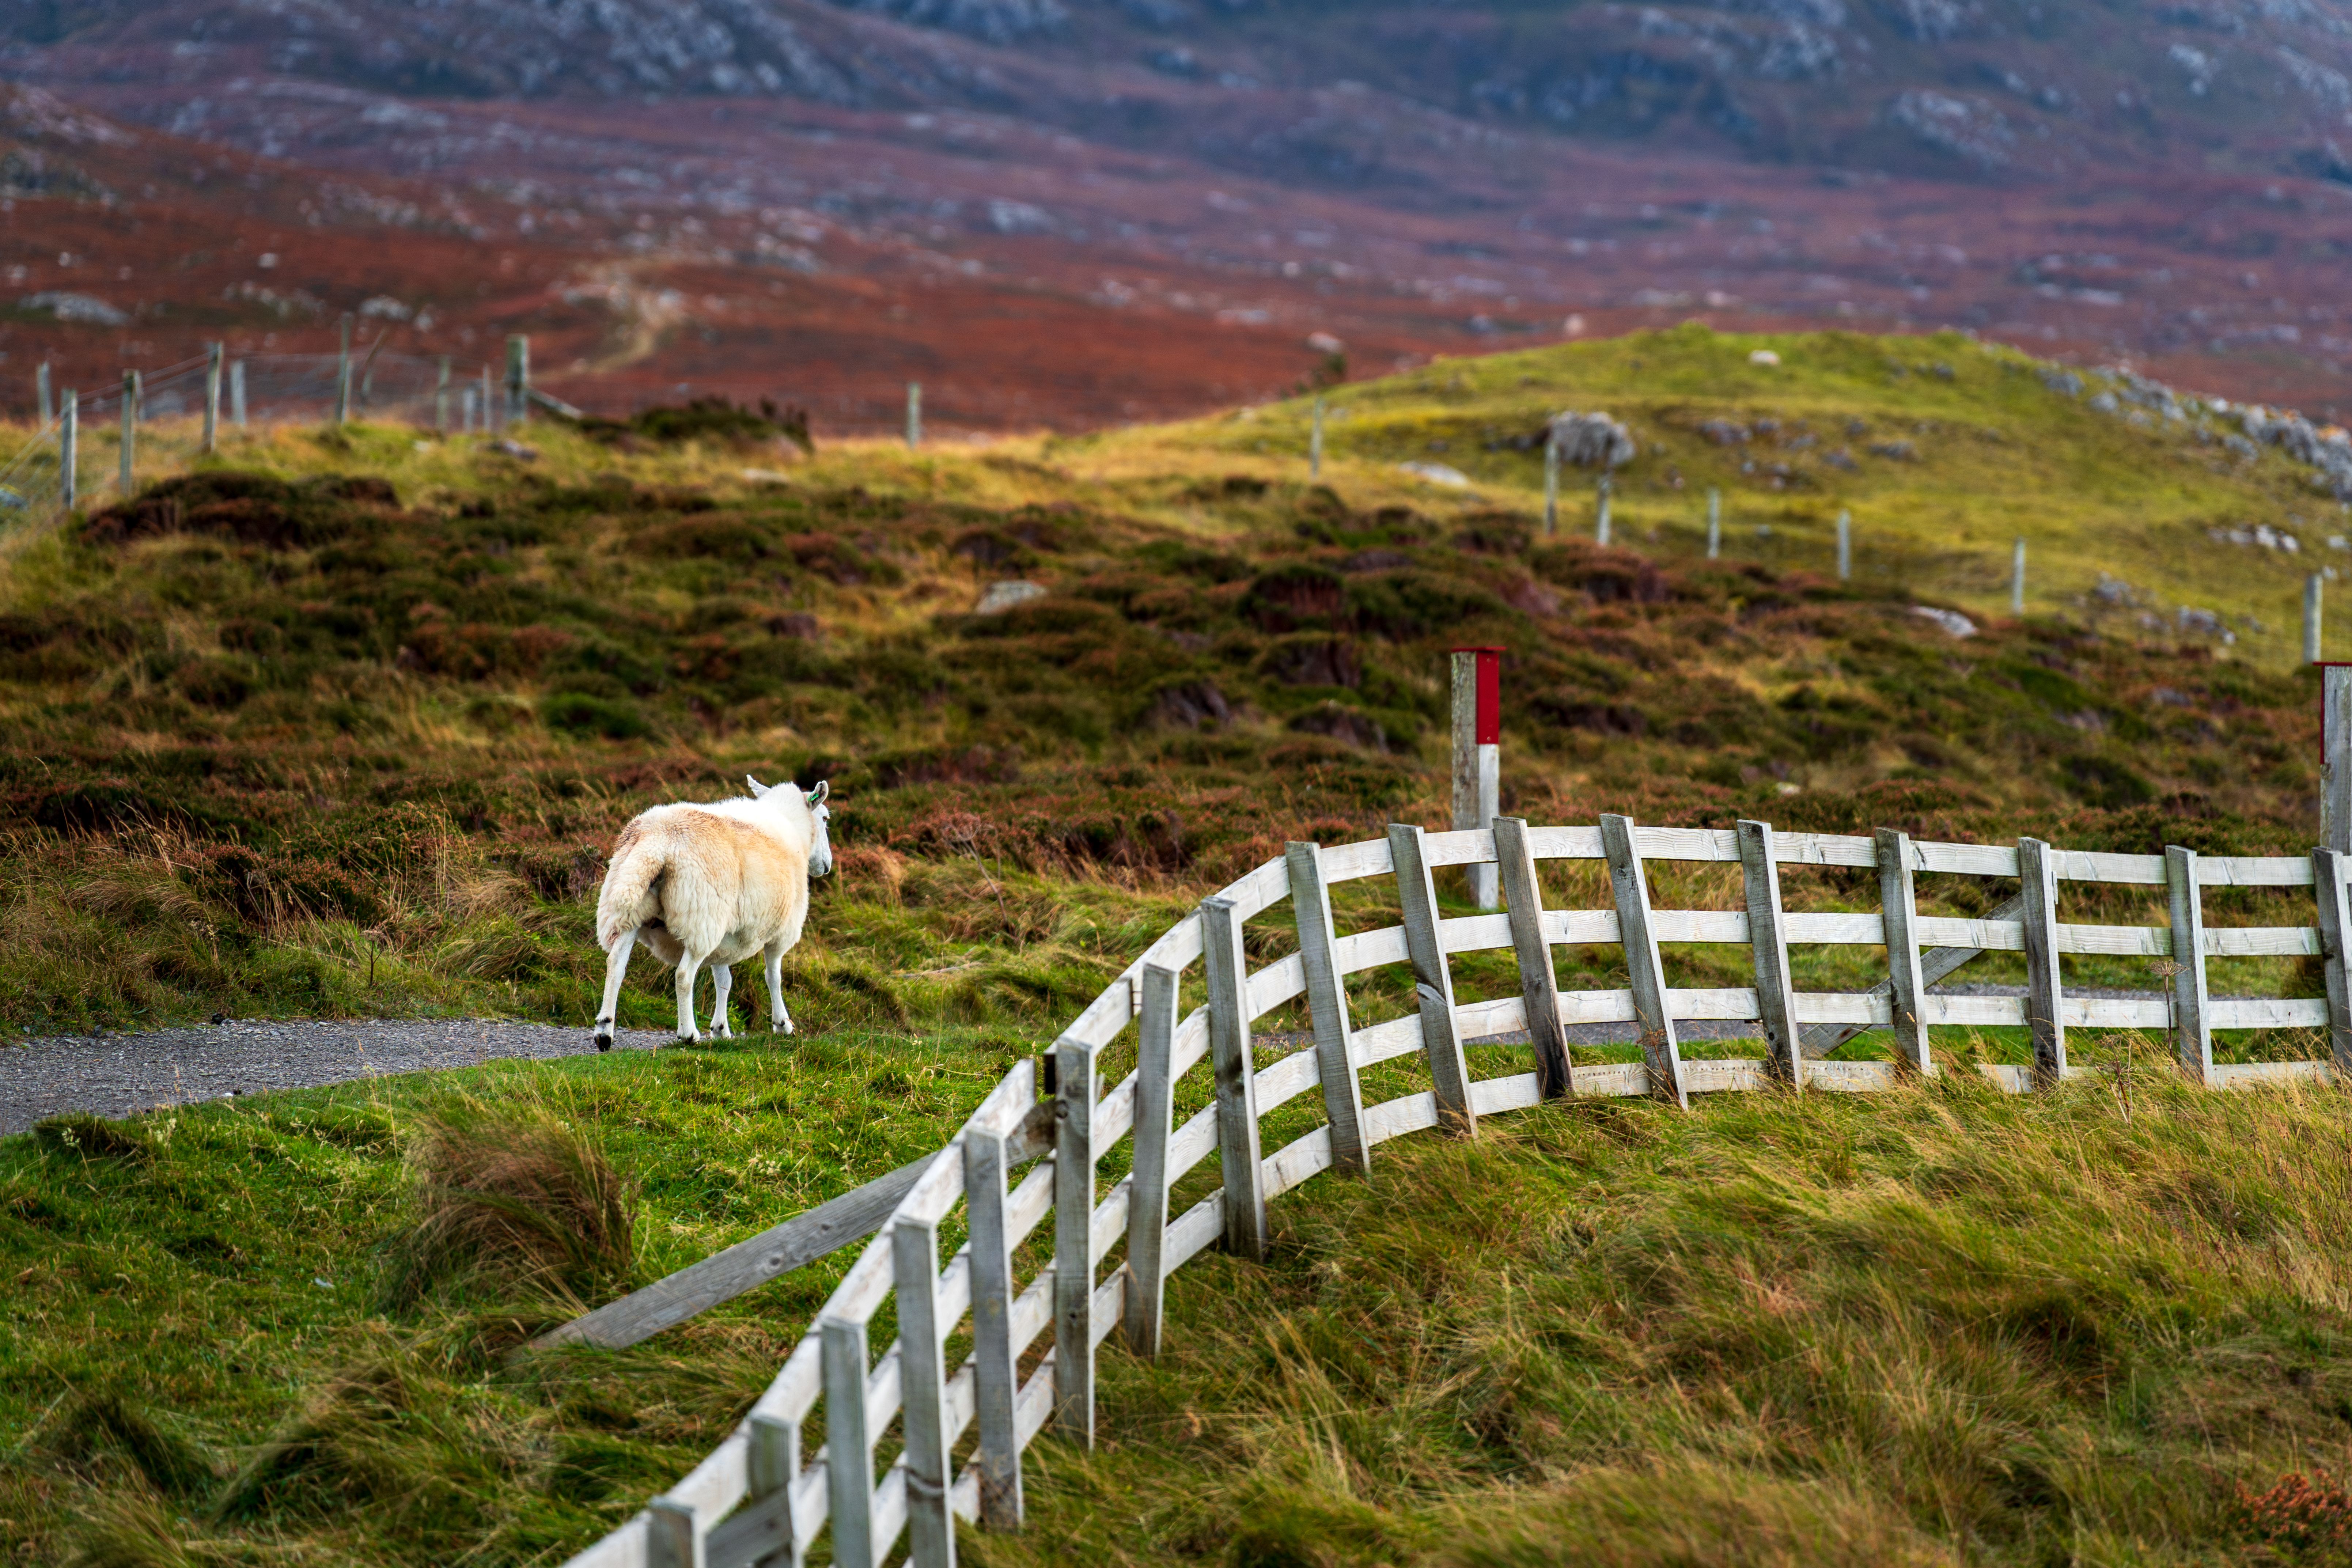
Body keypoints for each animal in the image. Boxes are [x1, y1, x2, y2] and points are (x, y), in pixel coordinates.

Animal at [592, 777, 834, 1049]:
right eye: (825, 819)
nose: (827, 865)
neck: (794, 829)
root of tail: (657, 841)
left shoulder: (728, 934)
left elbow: (724, 981)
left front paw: (720, 1030)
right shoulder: (782, 931)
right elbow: (773, 976)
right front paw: (783, 1024)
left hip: (633, 910)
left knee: (616, 965)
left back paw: (605, 1031)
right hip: (702, 918)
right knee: (684, 975)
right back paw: (689, 1034)